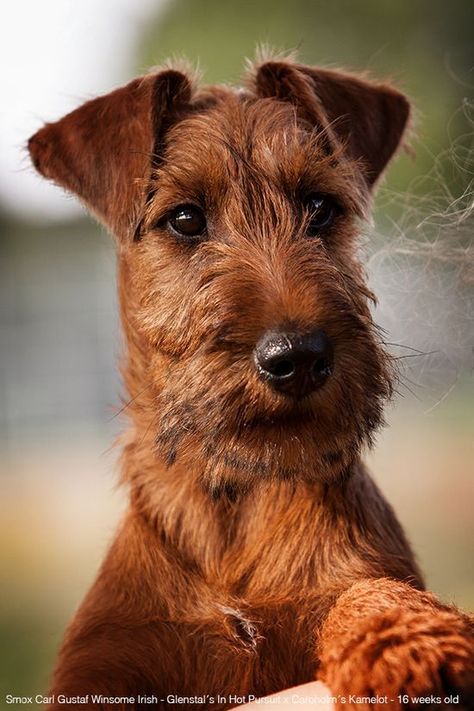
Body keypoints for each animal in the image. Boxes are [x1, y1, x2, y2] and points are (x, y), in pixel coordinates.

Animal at [27, 54, 472, 708]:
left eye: (320, 207)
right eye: (186, 219)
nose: (298, 356)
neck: (234, 507)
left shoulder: (355, 575)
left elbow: (366, 590)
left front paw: (411, 641)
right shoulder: (100, 664)